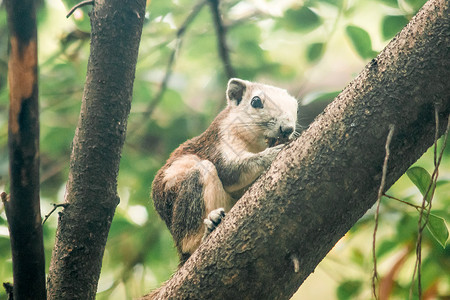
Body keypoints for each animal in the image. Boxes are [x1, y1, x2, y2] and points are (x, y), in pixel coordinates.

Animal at [151, 78, 298, 264]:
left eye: (295, 107)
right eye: (256, 101)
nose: (287, 128)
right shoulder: (219, 142)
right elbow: (229, 171)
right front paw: (271, 153)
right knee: (189, 242)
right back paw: (206, 232)